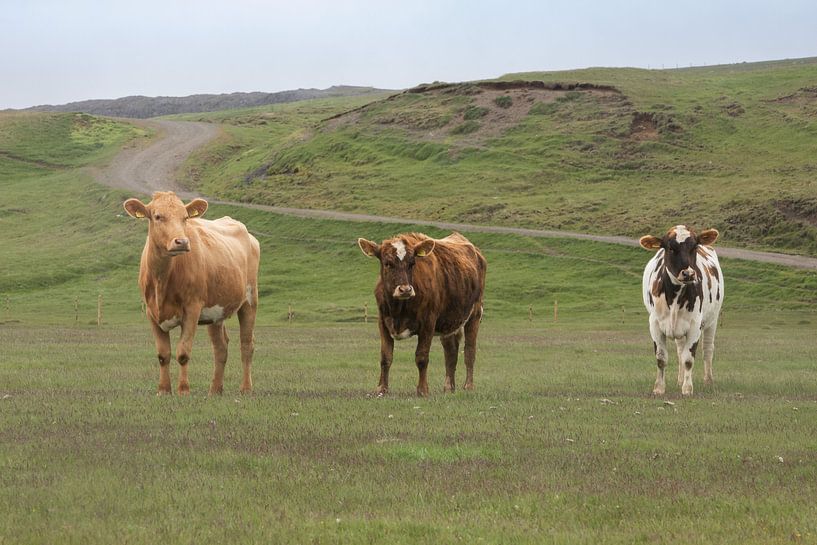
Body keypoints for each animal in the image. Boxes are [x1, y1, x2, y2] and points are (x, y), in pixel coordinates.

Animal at [123, 191, 260, 395]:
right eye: (157, 216)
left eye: (185, 217)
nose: (182, 241)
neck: (162, 280)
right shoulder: (151, 311)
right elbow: (163, 354)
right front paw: (163, 390)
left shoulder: (192, 308)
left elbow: (183, 352)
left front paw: (183, 390)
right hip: (216, 311)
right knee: (220, 348)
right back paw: (215, 390)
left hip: (250, 300)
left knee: (246, 345)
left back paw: (246, 389)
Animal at [357, 232, 486, 396]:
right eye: (387, 263)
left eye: (412, 263)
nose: (405, 289)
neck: (398, 309)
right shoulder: (383, 323)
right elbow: (385, 357)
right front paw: (382, 388)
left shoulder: (428, 323)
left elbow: (422, 357)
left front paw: (423, 390)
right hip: (449, 322)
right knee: (450, 352)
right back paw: (448, 387)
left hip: (475, 313)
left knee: (469, 351)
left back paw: (468, 386)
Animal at [640, 225, 723, 396]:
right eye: (671, 248)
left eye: (694, 247)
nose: (689, 273)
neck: (675, 295)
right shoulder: (655, 324)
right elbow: (661, 358)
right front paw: (659, 388)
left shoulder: (695, 325)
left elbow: (688, 359)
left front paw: (687, 388)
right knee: (679, 351)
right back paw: (679, 380)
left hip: (712, 320)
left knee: (708, 350)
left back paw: (708, 381)